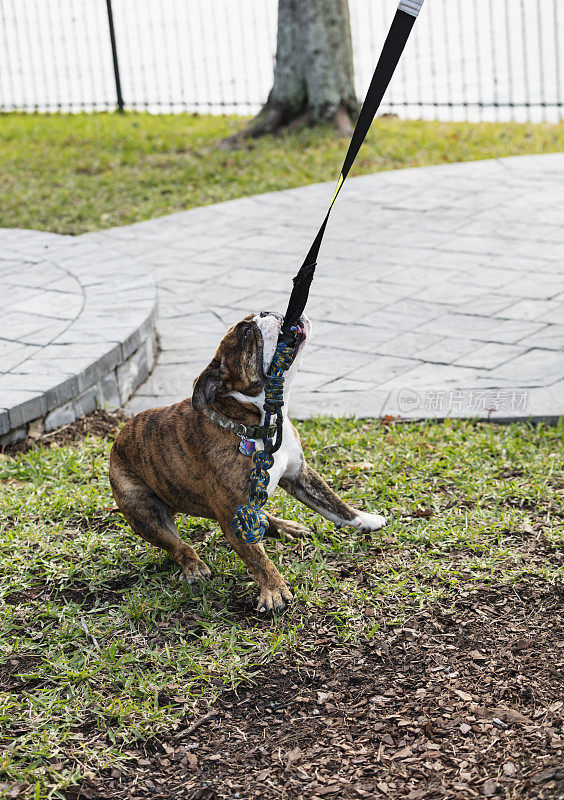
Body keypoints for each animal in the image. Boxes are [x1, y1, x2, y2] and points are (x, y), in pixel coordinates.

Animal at [108, 312, 386, 612]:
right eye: (245, 332)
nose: (268, 313)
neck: (256, 422)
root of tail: (117, 441)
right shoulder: (233, 513)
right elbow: (257, 558)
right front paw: (274, 590)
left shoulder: (300, 475)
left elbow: (334, 504)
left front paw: (366, 520)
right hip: (142, 508)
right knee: (178, 546)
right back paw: (193, 566)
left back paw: (285, 526)